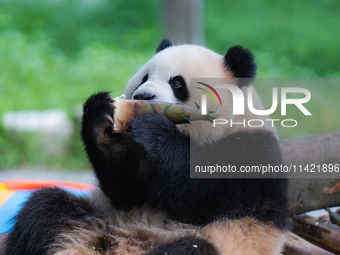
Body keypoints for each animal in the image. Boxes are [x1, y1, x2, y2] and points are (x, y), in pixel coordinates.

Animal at [3, 39, 288, 255]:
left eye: (177, 83)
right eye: (144, 78)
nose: (143, 96)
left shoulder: (252, 152)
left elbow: (201, 196)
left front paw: (153, 128)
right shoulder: (131, 183)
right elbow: (125, 191)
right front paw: (100, 115)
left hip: (215, 242)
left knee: (190, 249)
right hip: (98, 219)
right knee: (44, 209)